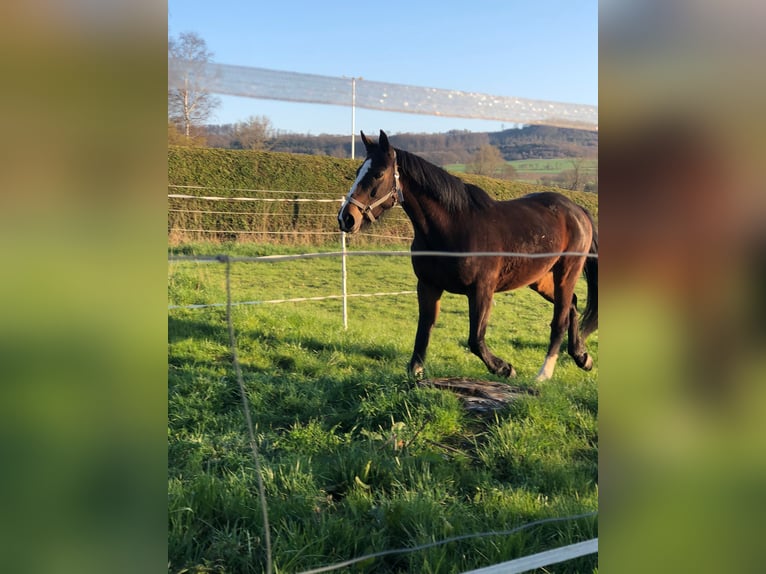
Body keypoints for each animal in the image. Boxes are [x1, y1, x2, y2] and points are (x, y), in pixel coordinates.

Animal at [338, 130, 598, 381]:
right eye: (358, 171)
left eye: (379, 174)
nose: (347, 218)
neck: (453, 227)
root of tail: (577, 210)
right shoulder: (428, 285)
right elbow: (424, 329)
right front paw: (416, 372)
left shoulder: (481, 289)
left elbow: (475, 338)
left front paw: (504, 368)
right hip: (539, 279)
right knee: (573, 305)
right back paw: (582, 357)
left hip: (566, 272)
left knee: (560, 319)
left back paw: (544, 374)